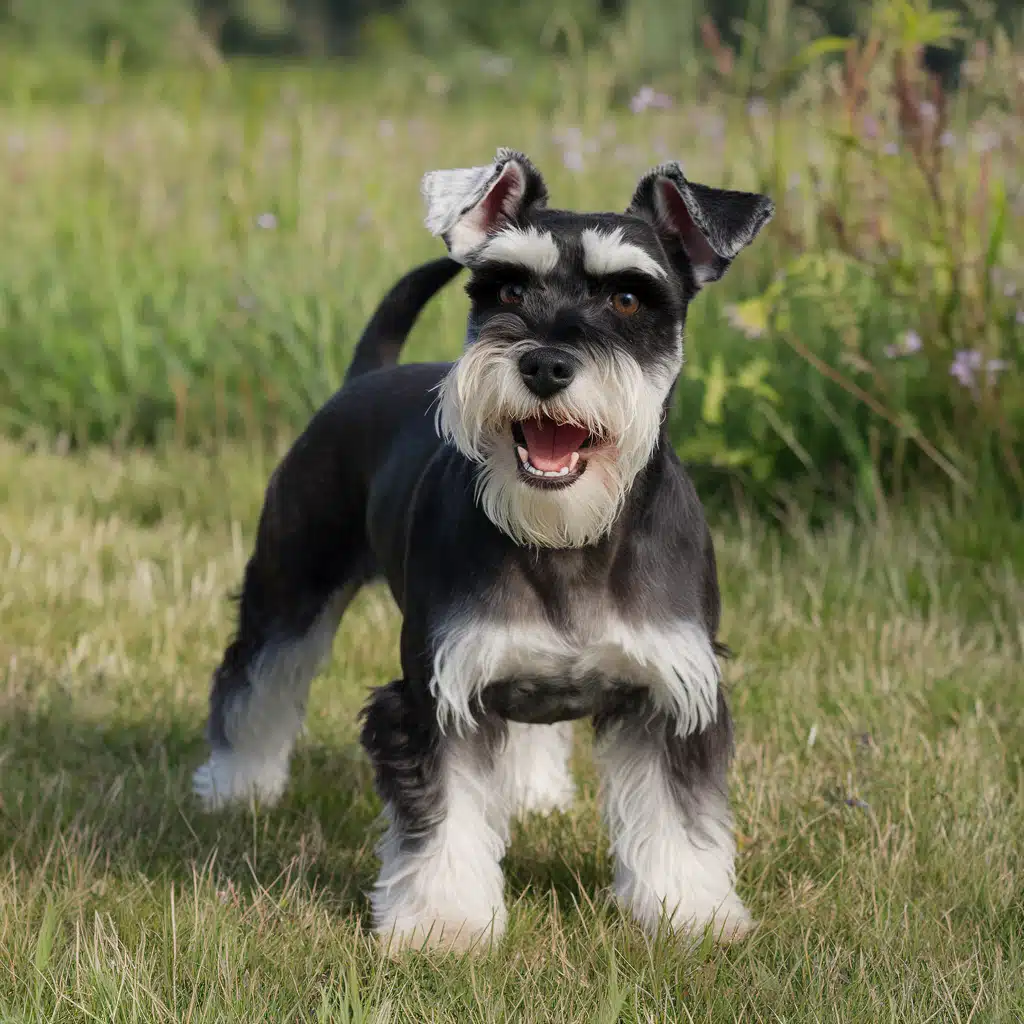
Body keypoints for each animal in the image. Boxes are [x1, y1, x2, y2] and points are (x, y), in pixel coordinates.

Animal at [192, 146, 770, 950]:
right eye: (507, 287)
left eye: (629, 298)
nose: (545, 365)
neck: (569, 540)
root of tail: (366, 376)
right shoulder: (438, 698)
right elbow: (446, 818)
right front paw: (444, 924)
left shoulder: (672, 694)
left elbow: (679, 820)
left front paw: (690, 912)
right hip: (292, 582)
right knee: (256, 675)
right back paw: (236, 785)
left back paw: (531, 792)